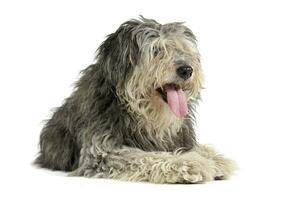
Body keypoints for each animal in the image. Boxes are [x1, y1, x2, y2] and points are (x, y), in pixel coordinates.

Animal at [35, 16, 236, 184]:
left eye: (183, 49)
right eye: (157, 51)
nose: (187, 70)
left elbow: (195, 147)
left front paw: (216, 159)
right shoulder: (102, 152)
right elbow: (148, 156)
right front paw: (189, 163)